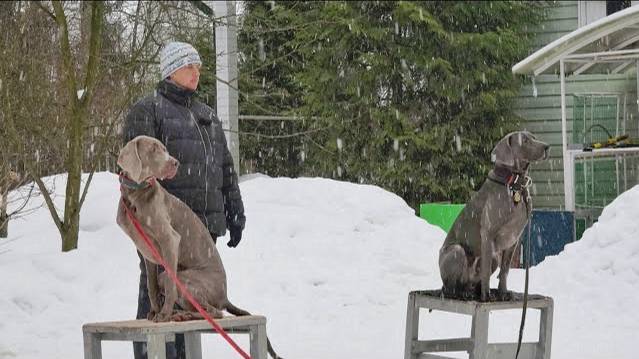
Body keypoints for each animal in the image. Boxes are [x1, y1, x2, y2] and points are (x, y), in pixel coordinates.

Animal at [440, 131, 552, 302]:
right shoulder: (488, 234)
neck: (514, 185)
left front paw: (503, 293)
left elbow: (505, 270)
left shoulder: (514, 239)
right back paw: (462, 293)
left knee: (473, 282)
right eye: (524, 140)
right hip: (456, 252)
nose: (547, 146)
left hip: (494, 258)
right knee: (450, 287)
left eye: (534, 137)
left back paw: (472, 291)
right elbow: (486, 272)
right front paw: (486, 296)